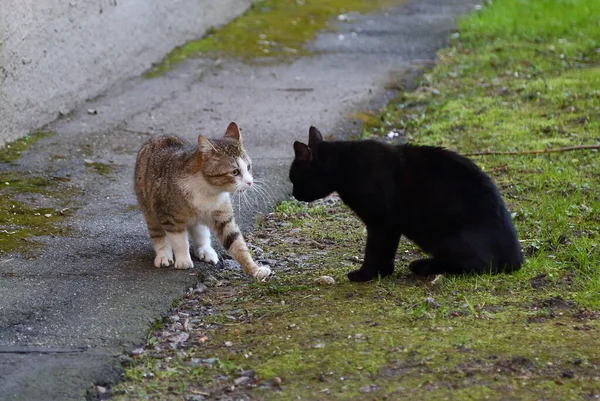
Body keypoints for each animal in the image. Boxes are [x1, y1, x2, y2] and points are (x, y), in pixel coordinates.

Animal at [135, 123, 272, 280]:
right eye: (235, 172)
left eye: (248, 167)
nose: (250, 182)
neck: (209, 190)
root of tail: (158, 137)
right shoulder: (169, 216)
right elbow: (179, 240)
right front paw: (183, 260)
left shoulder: (222, 216)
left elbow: (236, 242)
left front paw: (255, 269)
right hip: (148, 207)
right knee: (157, 232)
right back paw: (164, 254)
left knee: (200, 232)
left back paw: (205, 250)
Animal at [290, 127, 520, 282]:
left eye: (293, 179)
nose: (293, 194)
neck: (343, 164)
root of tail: (516, 259)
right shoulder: (389, 226)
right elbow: (386, 250)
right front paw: (383, 272)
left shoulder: (381, 222)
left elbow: (374, 250)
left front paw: (366, 274)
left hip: (447, 238)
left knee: (478, 265)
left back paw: (425, 265)